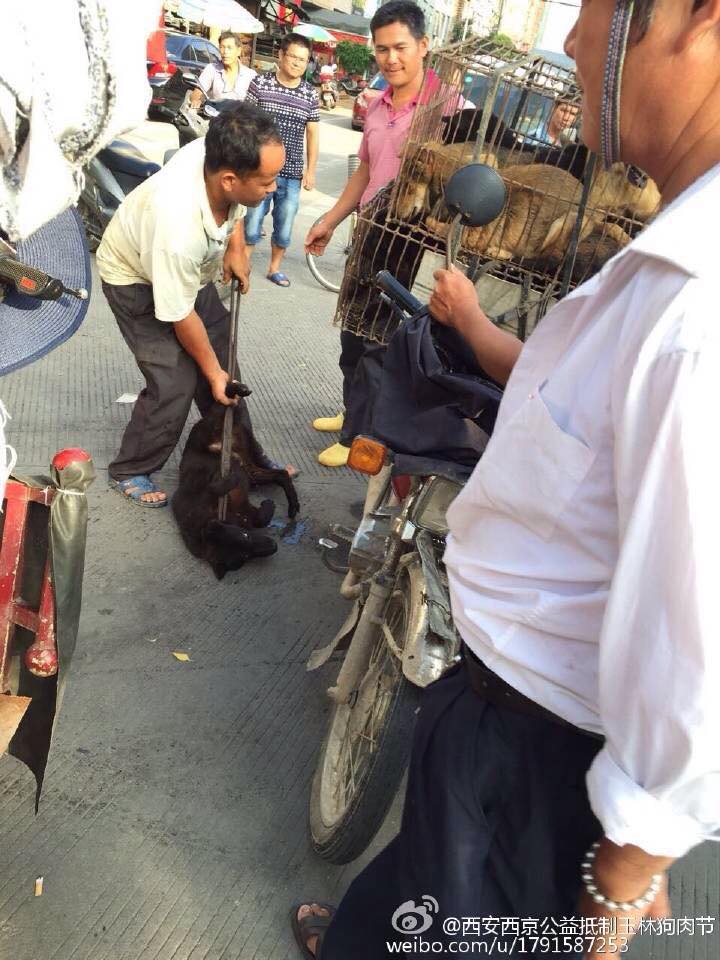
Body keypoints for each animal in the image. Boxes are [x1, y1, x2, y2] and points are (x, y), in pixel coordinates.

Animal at [171, 386, 298, 580]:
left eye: (246, 537)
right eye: (246, 556)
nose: (273, 547)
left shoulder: (210, 491)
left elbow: (215, 486)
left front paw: (232, 478)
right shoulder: (248, 513)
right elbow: (260, 520)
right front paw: (268, 505)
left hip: (210, 426)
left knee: (222, 402)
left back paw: (237, 389)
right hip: (252, 471)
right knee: (282, 475)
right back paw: (293, 503)